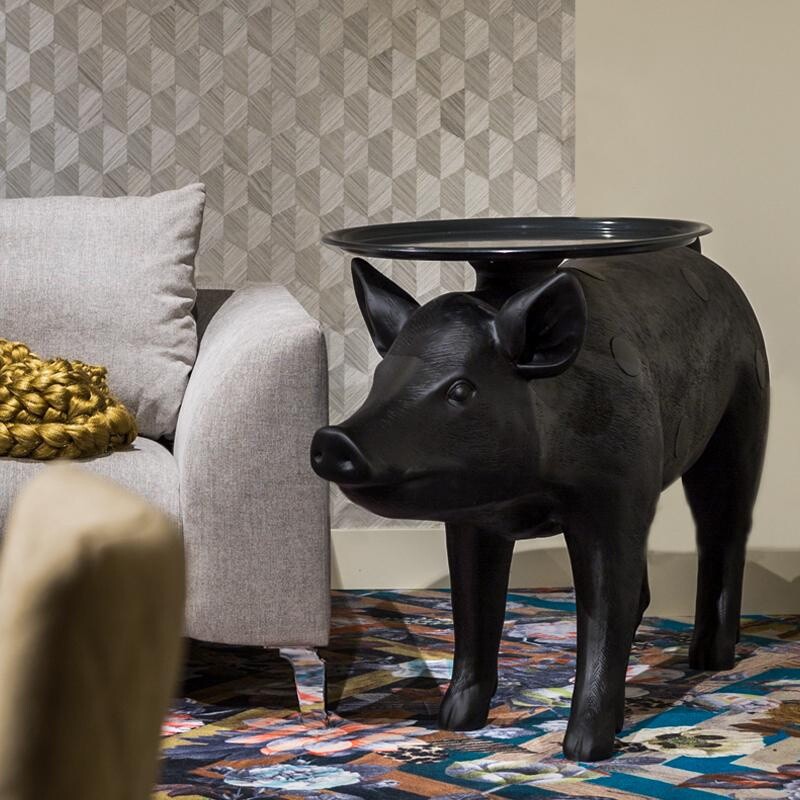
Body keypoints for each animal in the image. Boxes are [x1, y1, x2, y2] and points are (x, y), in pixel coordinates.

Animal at [310, 243, 769, 761]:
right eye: (381, 375)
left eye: (461, 389)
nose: (334, 439)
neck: (525, 491)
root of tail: (699, 257)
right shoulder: (471, 516)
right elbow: (473, 606)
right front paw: (454, 723)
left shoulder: (614, 495)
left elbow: (602, 606)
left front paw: (583, 751)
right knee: (645, 587)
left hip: (744, 407)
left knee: (723, 526)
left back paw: (709, 661)